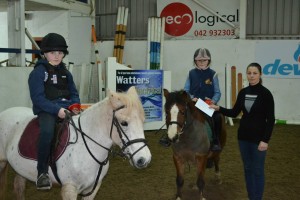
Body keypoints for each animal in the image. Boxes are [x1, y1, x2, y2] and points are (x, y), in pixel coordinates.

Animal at [0, 86, 150, 200]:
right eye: (124, 123)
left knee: (19, 187)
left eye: (143, 121)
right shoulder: (69, 189)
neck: (87, 147)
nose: (145, 159)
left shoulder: (92, 189)